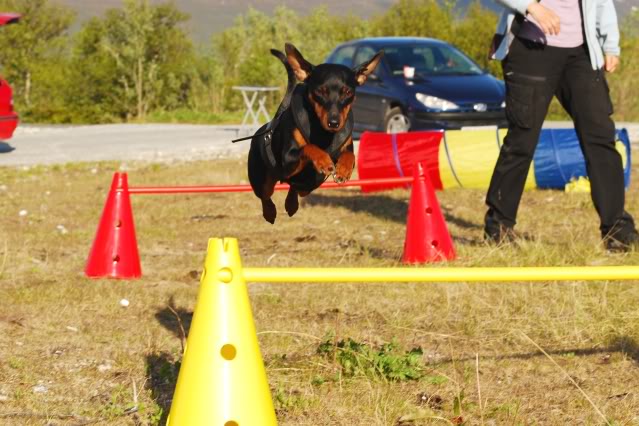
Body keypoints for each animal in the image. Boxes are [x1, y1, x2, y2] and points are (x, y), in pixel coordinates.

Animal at [248, 43, 382, 223]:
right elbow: (309, 147)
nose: (334, 123)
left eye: (348, 92)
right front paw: (324, 161)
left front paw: (343, 170)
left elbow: (350, 155)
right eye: (321, 91)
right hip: (263, 180)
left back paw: (291, 204)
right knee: (265, 195)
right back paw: (269, 212)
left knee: (295, 187)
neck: (322, 131)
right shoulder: (287, 160)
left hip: (309, 184)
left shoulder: (346, 146)